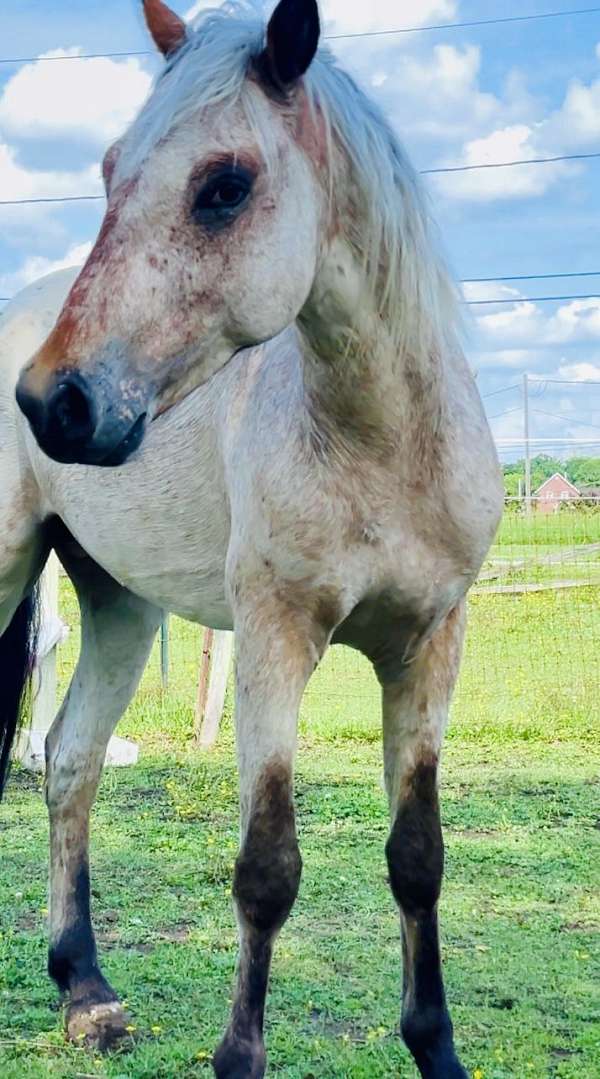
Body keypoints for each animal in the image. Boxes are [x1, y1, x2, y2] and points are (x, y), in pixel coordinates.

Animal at [1, 4, 500, 1074]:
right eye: (110, 168)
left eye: (223, 187)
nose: (54, 401)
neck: (381, 448)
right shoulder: (275, 642)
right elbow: (267, 869)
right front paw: (239, 1056)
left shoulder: (430, 647)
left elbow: (418, 857)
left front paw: (435, 1046)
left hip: (120, 605)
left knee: (70, 761)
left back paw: (85, 989)